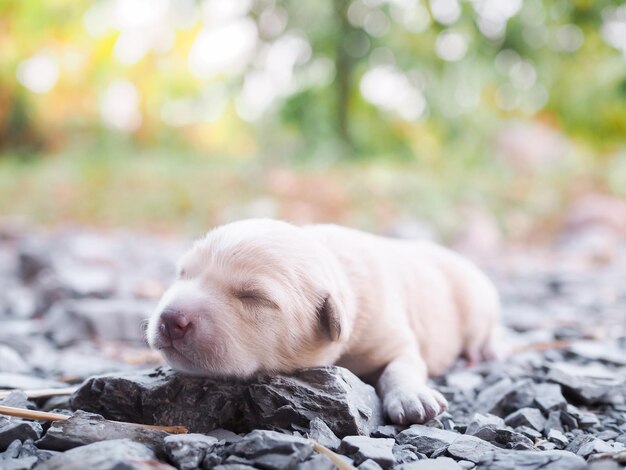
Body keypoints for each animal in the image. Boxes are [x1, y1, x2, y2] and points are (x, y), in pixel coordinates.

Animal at [145, 218, 498, 424]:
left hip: (480, 302)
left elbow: (402, 365)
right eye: (183, 273)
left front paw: (413, 397)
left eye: (253, 297)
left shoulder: (388, 334)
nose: (171, 319)